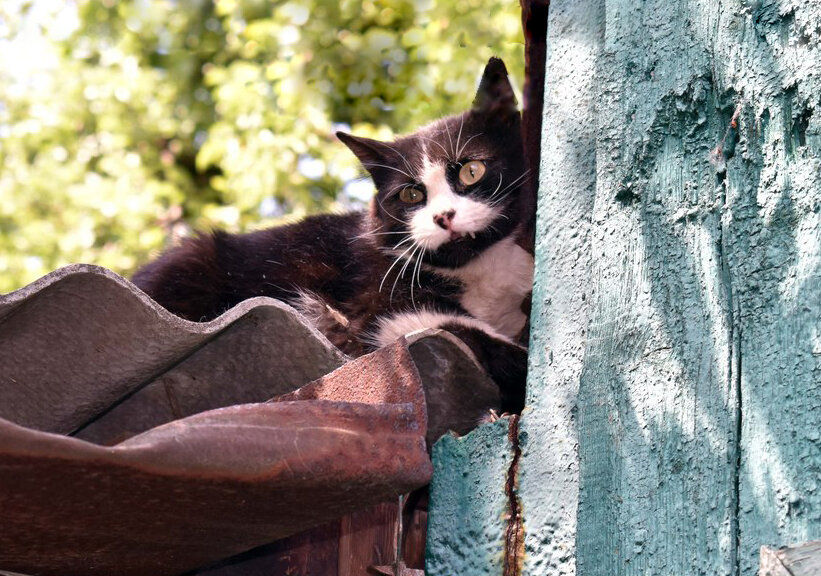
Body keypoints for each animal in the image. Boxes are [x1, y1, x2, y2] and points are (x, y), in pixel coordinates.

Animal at [135, 56, 532, 412]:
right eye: (411, 195)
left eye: (471, 171)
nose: (443, 216)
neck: (482, 270)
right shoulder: (379, 308)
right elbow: (460, 327)